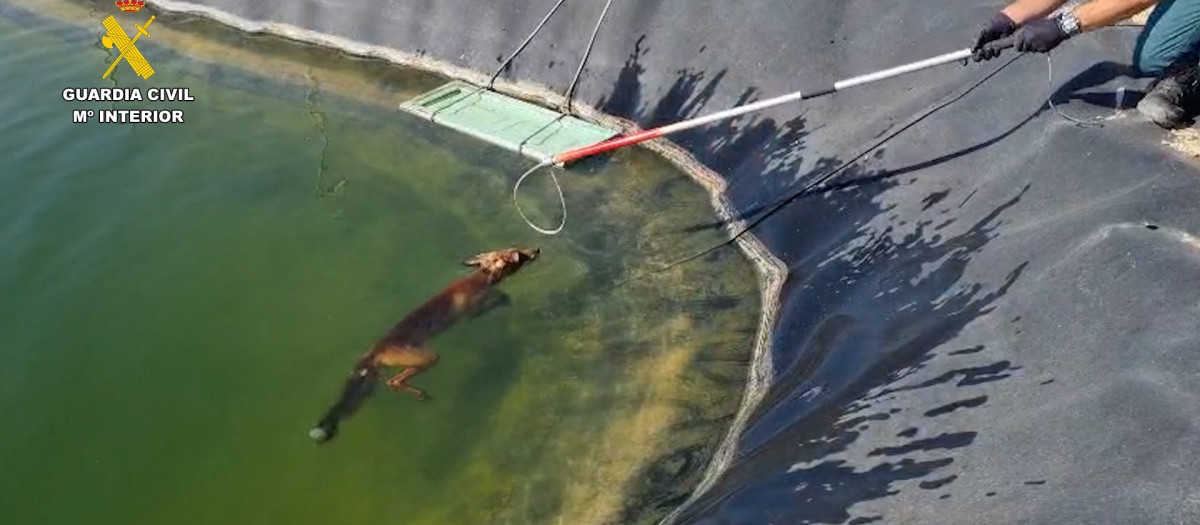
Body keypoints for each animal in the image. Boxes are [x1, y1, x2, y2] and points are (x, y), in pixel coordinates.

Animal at [308, 246, 540, 443]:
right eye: (519, 255)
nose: (536, 249)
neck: (481, 278)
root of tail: (375, 349)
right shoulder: (472, 311)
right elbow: (501, 298)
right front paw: (503, 300)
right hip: (427, 358)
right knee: (393, 382)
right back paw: (420, 394)